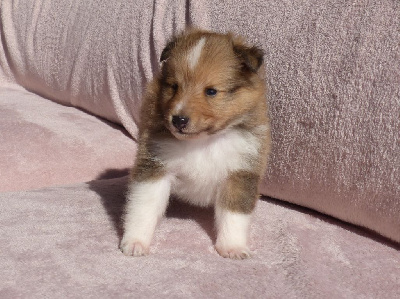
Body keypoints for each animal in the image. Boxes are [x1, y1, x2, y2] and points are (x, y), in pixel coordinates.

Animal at [120, 28, 270, 260]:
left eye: (211, 91)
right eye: (174, 87)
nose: (178, 120)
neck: (202, 142)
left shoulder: (240, 172)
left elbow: (234, 214)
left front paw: (232, 247)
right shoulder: (155, 164)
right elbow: (143, 206)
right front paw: (136, 242)